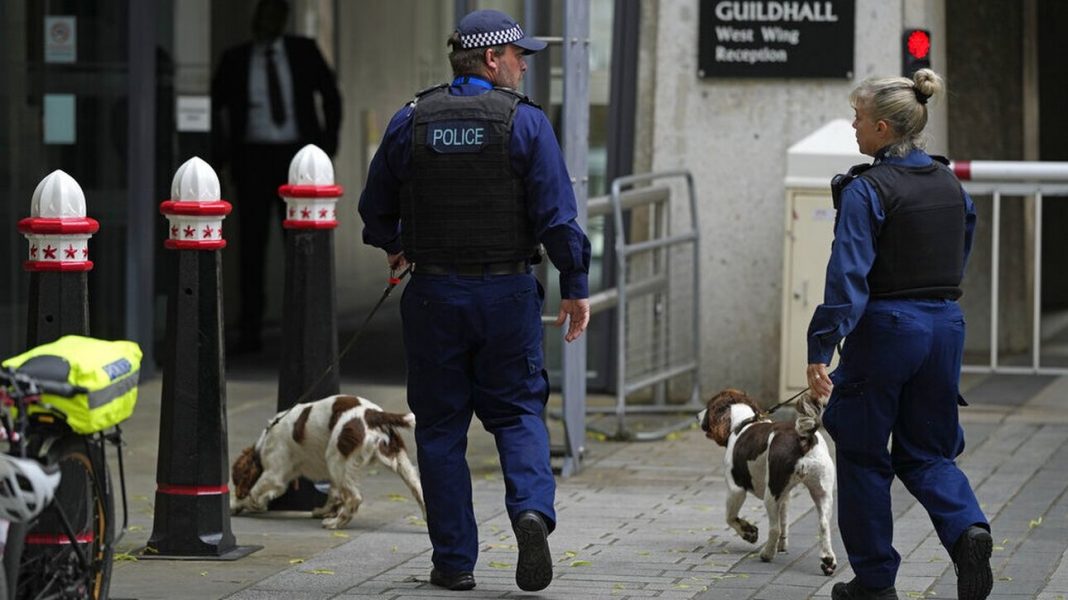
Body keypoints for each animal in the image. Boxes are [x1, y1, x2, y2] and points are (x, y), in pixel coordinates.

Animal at [230, 392, 425, 527]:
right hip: (399, 460)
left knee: (354, 498)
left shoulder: (274, 474)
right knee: (420, 491)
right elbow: (334, 492)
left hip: (335, 458)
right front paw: (325, 511)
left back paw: (335, 524)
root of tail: (373, 414)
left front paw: (242, 503)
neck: (263, 443)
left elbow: (254, 491)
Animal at [696, 388, 837, 576]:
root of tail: (803, 438)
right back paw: (828, 561)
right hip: (822, 491)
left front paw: (749, 532)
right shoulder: (786, 494)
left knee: (774, 528)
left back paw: (767, 554)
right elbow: (785, 521)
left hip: (771, 494)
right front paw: (782, 546)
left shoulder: (735, 488)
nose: (697, 415)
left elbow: (730, 517)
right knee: (823, 525)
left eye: (709, 406)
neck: (742, 422)